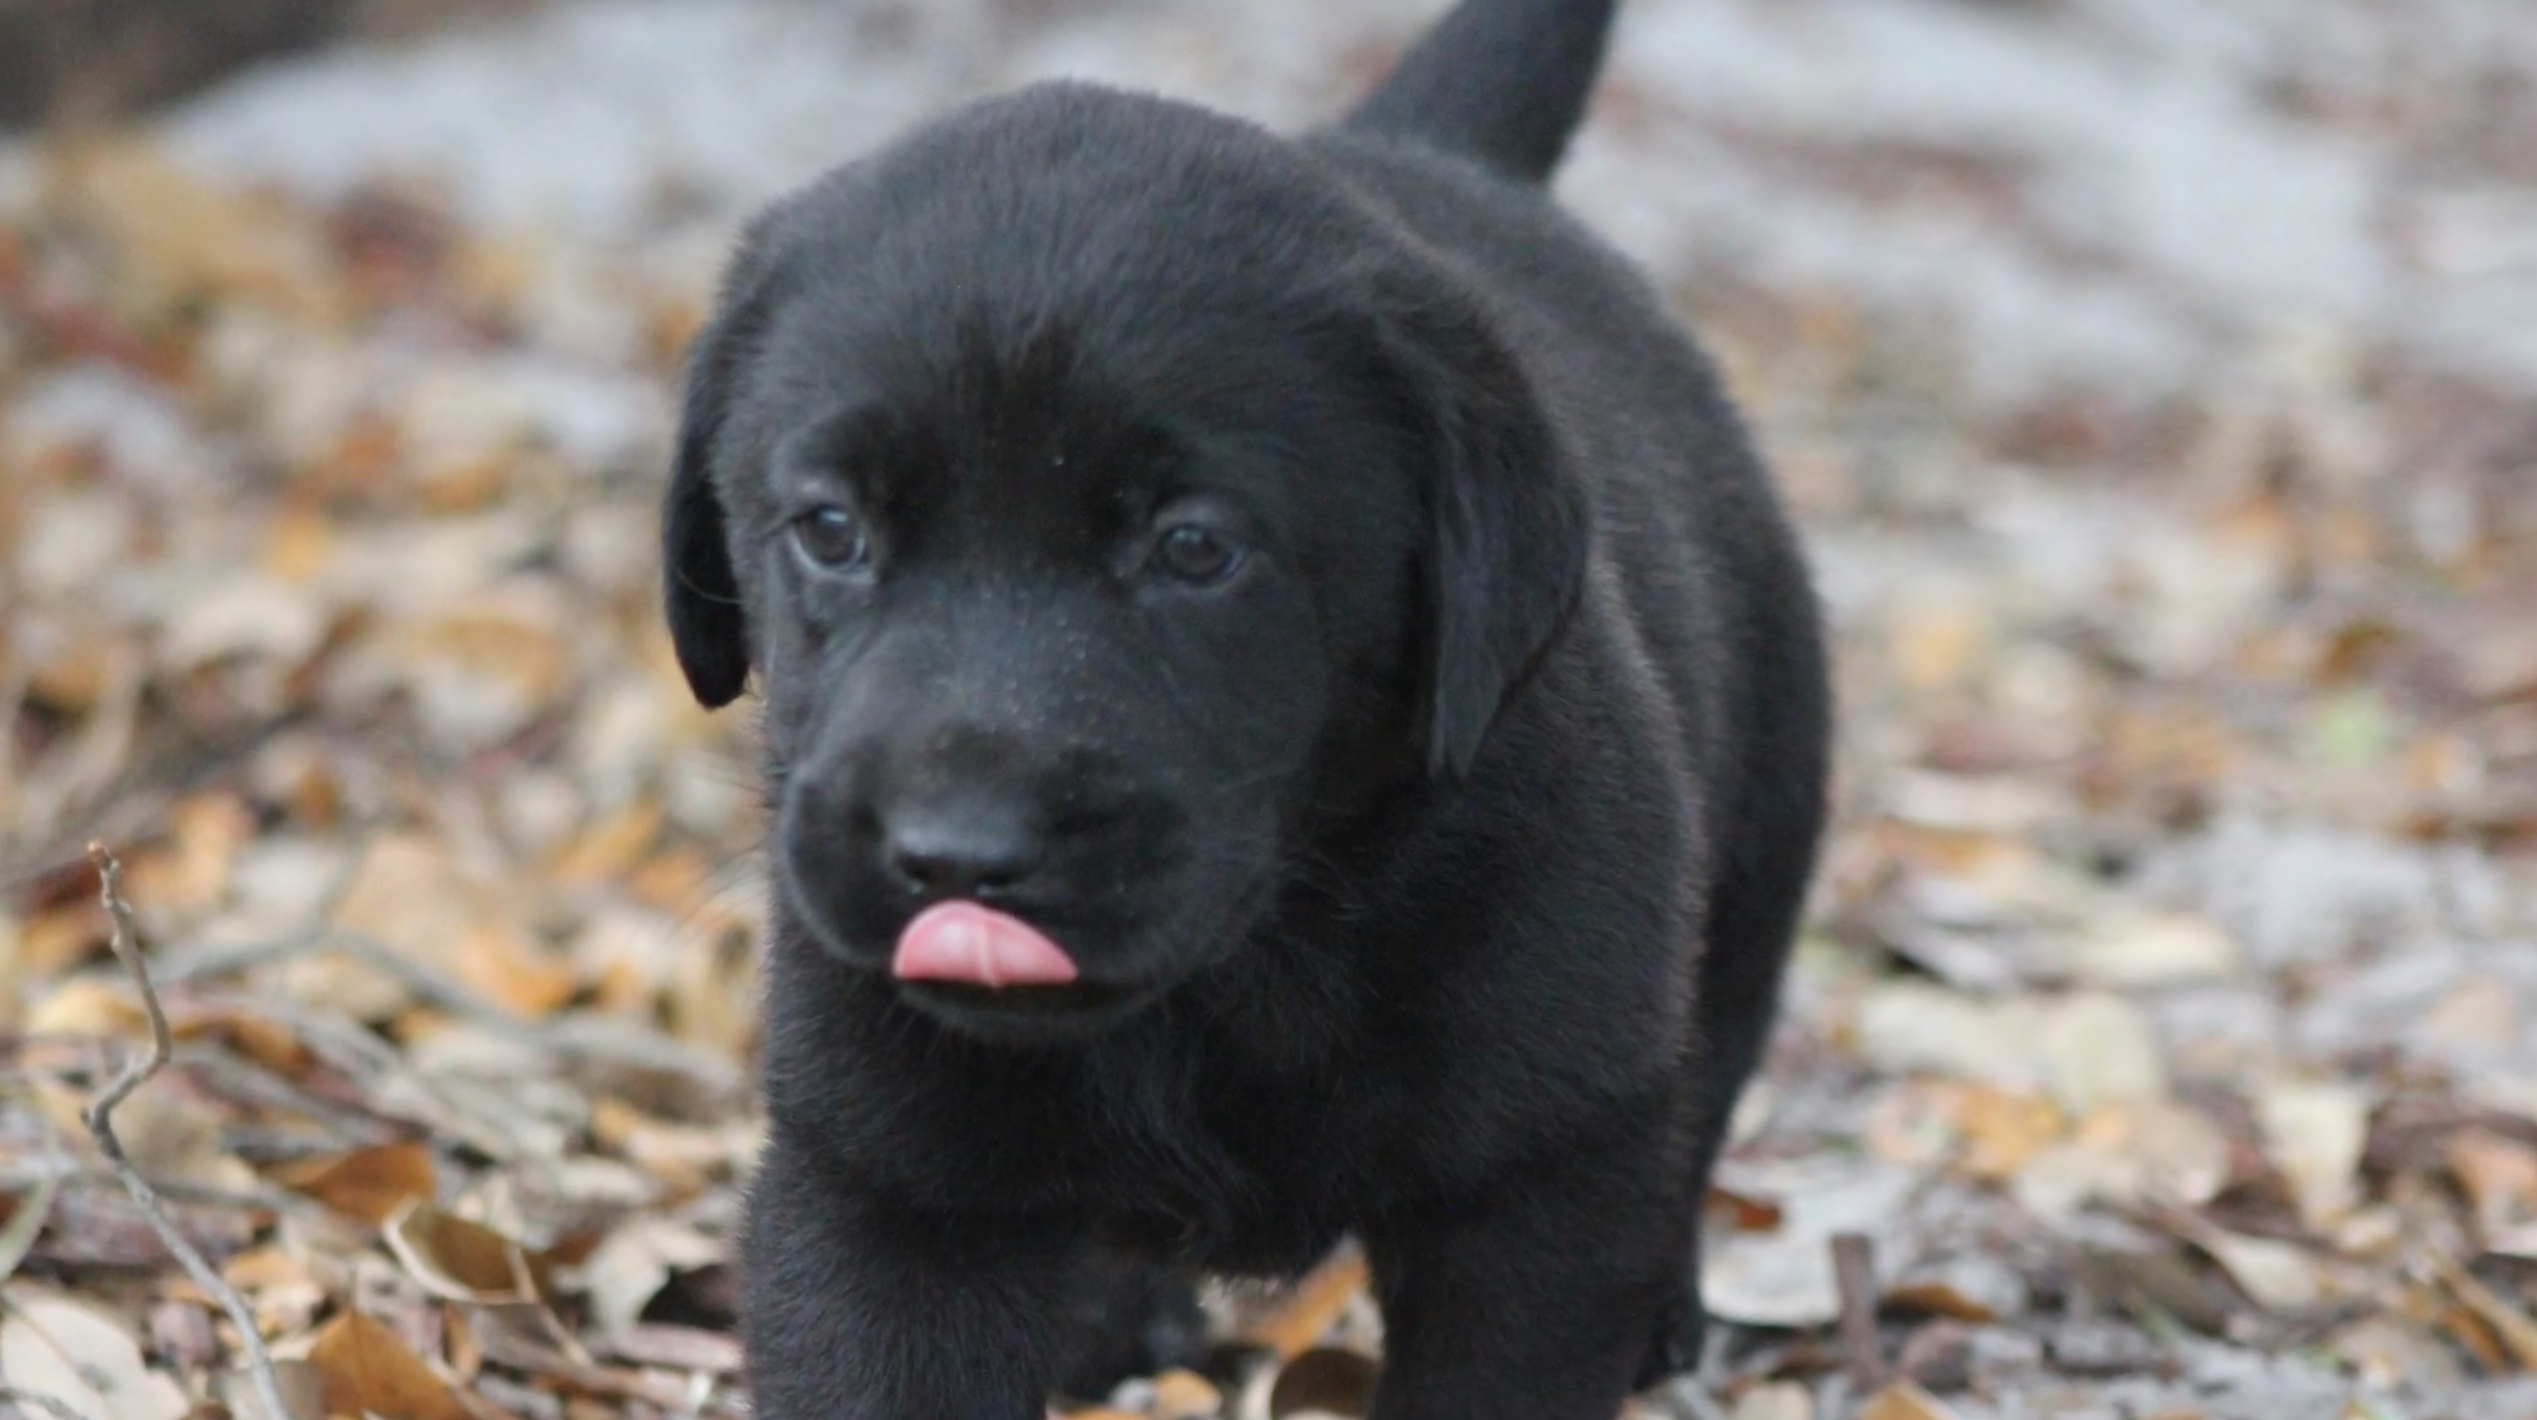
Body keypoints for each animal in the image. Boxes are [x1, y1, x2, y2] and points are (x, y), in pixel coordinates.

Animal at [659, 0, 1826, 1409]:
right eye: (830, 530)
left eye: (1194, 550)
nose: (957, 856)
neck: (1246, 967)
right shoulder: (889, 1190)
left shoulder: (1538, 1185)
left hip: (1754, 856)